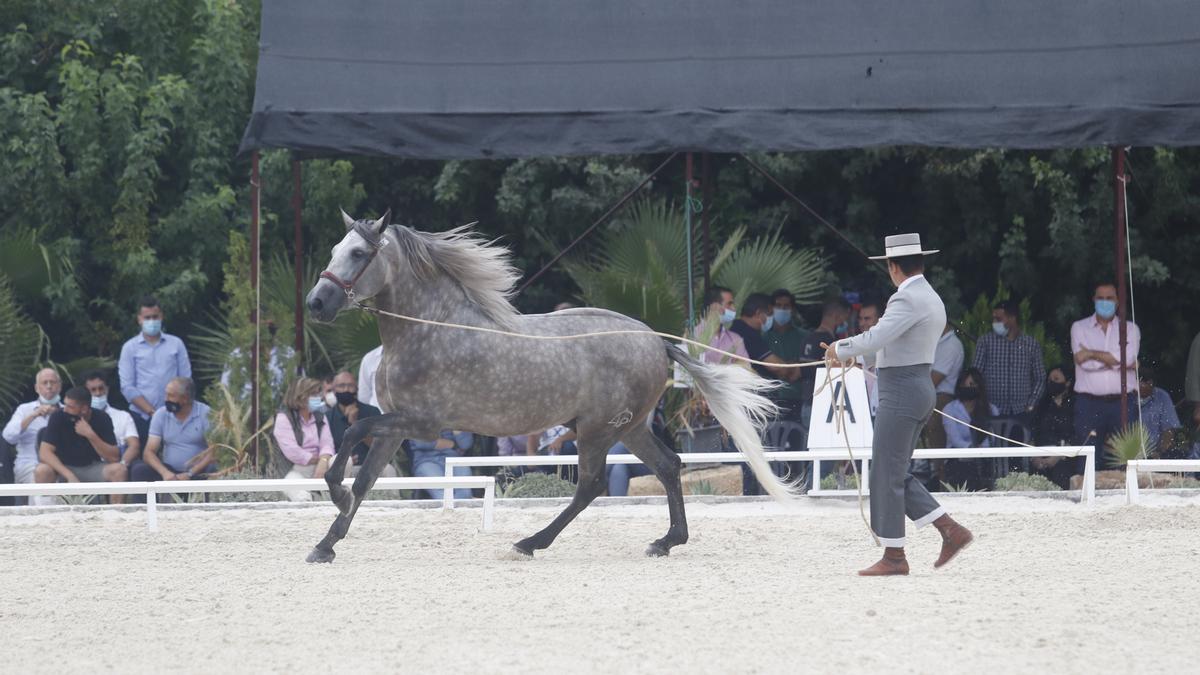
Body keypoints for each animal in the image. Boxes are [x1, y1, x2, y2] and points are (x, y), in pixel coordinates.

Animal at [302, 210, 787, 562]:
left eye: (359, 253)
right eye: (335, 249)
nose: (315, 303)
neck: (431, 329)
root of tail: (656, 340)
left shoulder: (422, 424)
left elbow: (352, 432)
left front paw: (334, 493)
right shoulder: (397, 425)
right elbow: (365, 478)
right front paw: (326, 543)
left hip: (597, 430)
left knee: (591, 485)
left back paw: (530, 543)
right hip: (628, 428)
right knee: (668, 466)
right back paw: (666, 542)